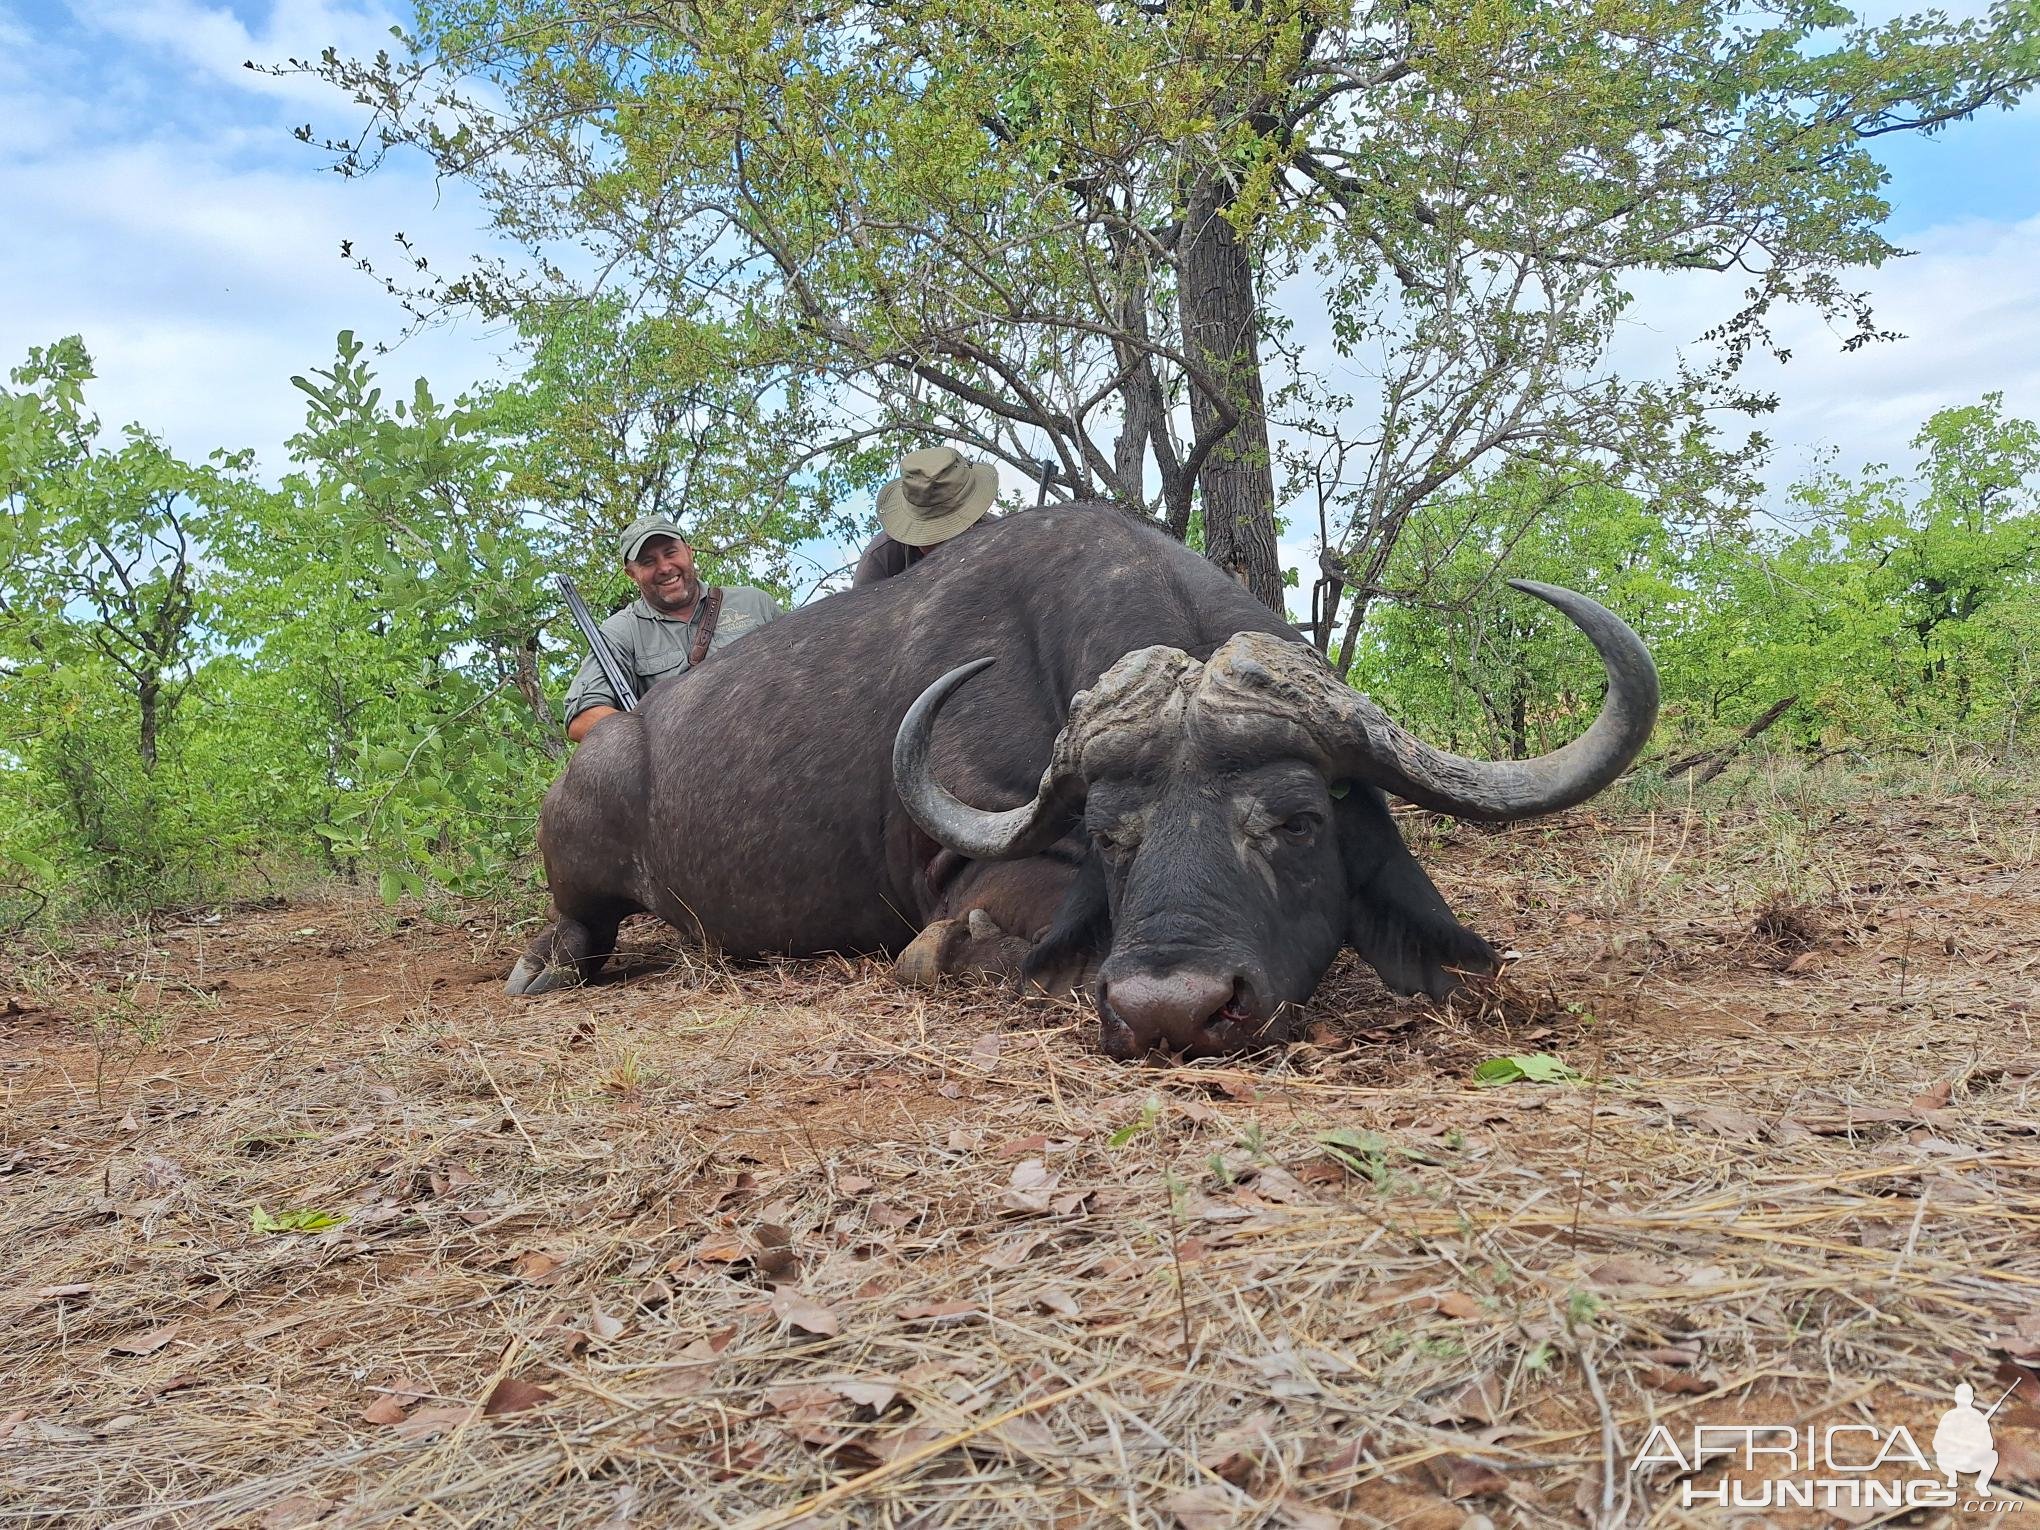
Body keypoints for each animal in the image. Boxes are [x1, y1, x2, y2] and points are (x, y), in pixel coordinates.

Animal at [514, 510, 1656, 1060]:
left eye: (1296, 823)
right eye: (1112, 836)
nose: (1171, 1013)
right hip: (581, 831)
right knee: (581, 924)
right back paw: (545, 964)